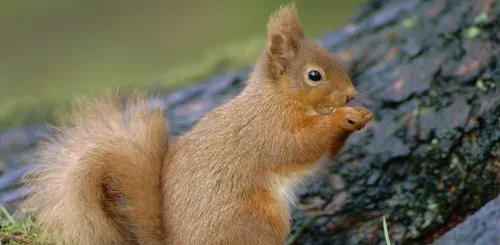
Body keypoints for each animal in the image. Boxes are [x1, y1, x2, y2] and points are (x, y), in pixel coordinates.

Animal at [20, 2, 372, 244]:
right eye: (314, 75)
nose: (351, 95)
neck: (278, 99)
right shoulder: (268, 130)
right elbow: (299, 145)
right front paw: (342, 117)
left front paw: (360, 116)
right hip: (255, 221)